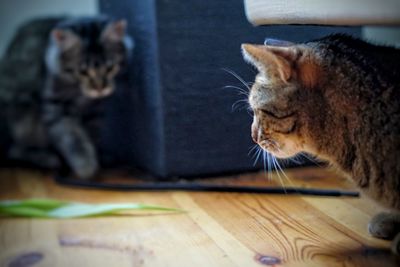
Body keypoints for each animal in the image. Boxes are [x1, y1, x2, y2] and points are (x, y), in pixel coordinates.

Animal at [0, 16, 134, 180]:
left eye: (110, 68)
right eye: (82, 72)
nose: (99, 88)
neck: (81, 95)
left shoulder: (95, 112)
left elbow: (92, 136)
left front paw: (97, 158)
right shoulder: (55, 107)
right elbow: (73, 138)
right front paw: (85, 167)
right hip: (22, 115)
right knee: (14, 150)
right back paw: (47, 159)